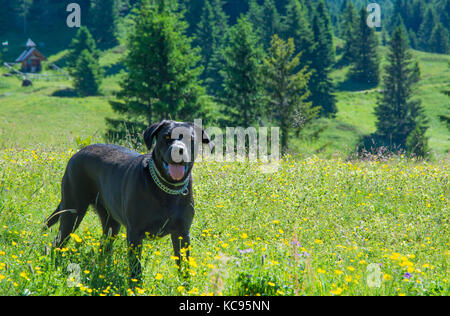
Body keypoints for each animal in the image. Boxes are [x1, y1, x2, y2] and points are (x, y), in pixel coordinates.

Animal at [45, 121, 213, 278]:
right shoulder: (135, 234)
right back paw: (55, 268)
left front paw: (185, 285)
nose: (178, 150)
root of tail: (78, 152)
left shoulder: (182, 233)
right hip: (72, 212)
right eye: (166, 137)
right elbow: (136, 269)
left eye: (190, 139)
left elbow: (184, 266)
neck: (167, 189)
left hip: (111, 223)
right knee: (58, 243)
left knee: (104, 246)